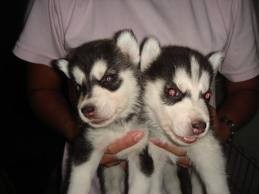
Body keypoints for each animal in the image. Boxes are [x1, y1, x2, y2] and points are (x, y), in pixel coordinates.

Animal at [52, 29, 151, 194]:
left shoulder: (142, 152)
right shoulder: (85, 146)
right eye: (78, 87)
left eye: (108, 78)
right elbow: (78, 183)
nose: (86, 110)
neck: (117, 127)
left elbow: (139, 186)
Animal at [141, 38, 231, 194]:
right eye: (172, 91)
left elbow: (217, 183)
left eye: (207, 95)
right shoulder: (154, 156)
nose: (200, 126)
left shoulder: (209, 152)